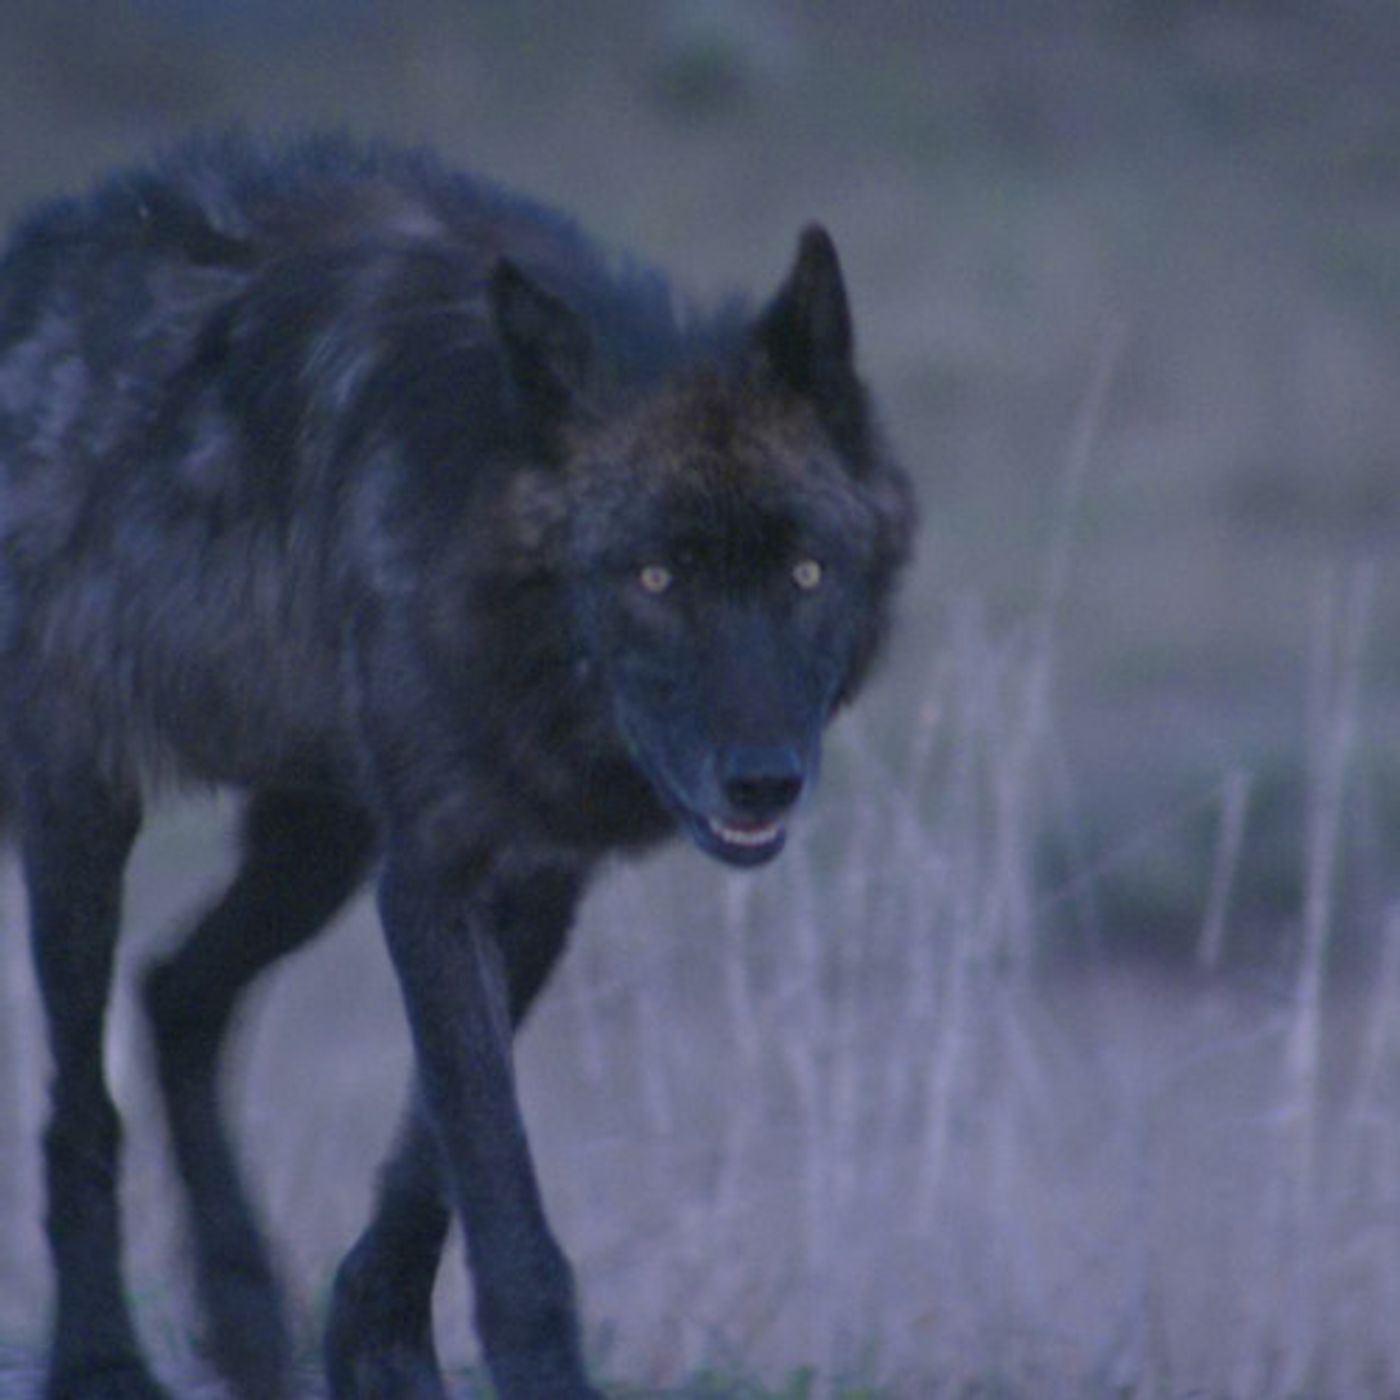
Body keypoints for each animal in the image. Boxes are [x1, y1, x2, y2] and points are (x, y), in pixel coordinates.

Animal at [0, 132, 913, 1399]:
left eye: (805, 572)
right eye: (653, 577)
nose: (762, 780)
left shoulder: (530, 878)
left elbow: (430, 1156)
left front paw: (370, 1343)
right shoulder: (432, 873)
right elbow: (495, 1183)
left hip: (315, 844)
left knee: (178, 989)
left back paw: (243, 1312)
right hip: (85, 814)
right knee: (80, 1097)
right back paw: (101, 1359)